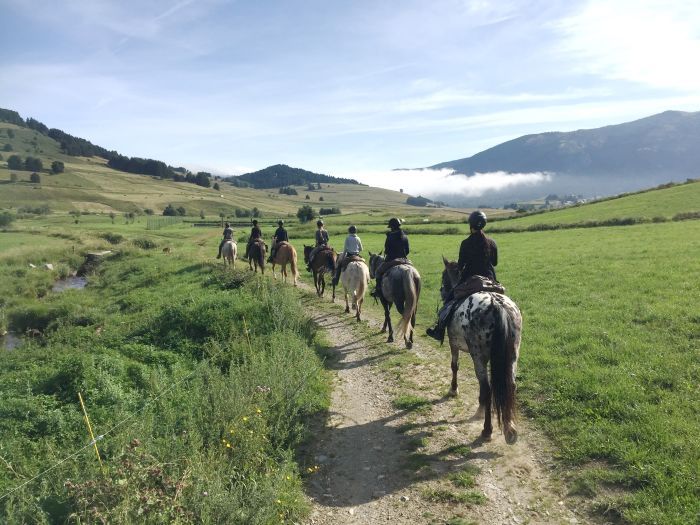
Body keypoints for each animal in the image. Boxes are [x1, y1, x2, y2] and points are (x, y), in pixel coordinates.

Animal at [440, 258, 524, 442]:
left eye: (444, 276)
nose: (442, 291)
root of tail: (496, 304)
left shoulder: (453, 343)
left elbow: (454, 366)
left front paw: (453, 390)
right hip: (512, 354)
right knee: (511, 385)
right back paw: (510, 431)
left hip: (479, 355)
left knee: (487, 388)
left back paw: (486, 430)